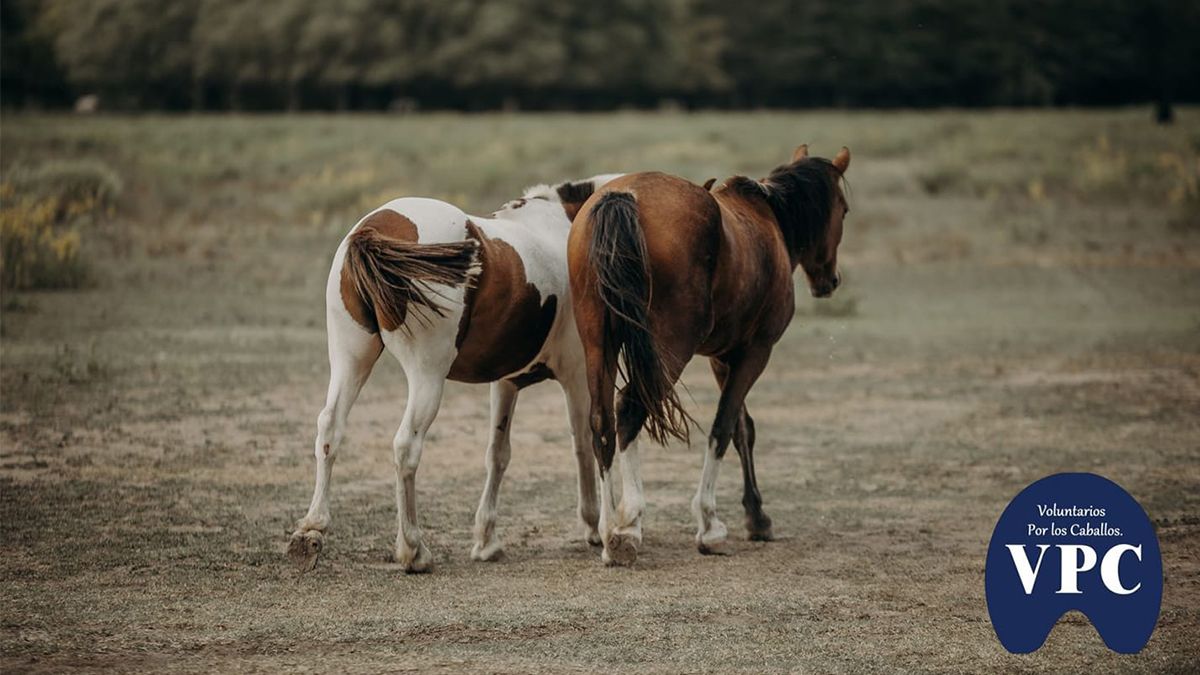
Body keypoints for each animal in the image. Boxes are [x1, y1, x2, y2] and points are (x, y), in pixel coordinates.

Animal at [289, 172, 622, 573]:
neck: (563, 226)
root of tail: (374, 230)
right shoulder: (575, 376)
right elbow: (583, 444)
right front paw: (593, 525)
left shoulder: (506, 382)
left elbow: (498, 454)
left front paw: (486, 540)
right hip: (426, 375)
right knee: (406, 446)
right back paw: (413, 549)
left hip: (350, 359)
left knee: (330, 428)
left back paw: (312, 528)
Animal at [567, 144, 850, 565]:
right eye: (843, 210)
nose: (830, 280)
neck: (767, 220)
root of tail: (622, 196)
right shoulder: (755, 352)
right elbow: (723, 426)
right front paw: (710, 524)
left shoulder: (722, 357)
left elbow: (743, 428)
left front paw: (757, 517)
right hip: (671, 349)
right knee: (630, 411)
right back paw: (629, 525)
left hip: (598, 343)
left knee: (602, 422)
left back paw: (607, 530)